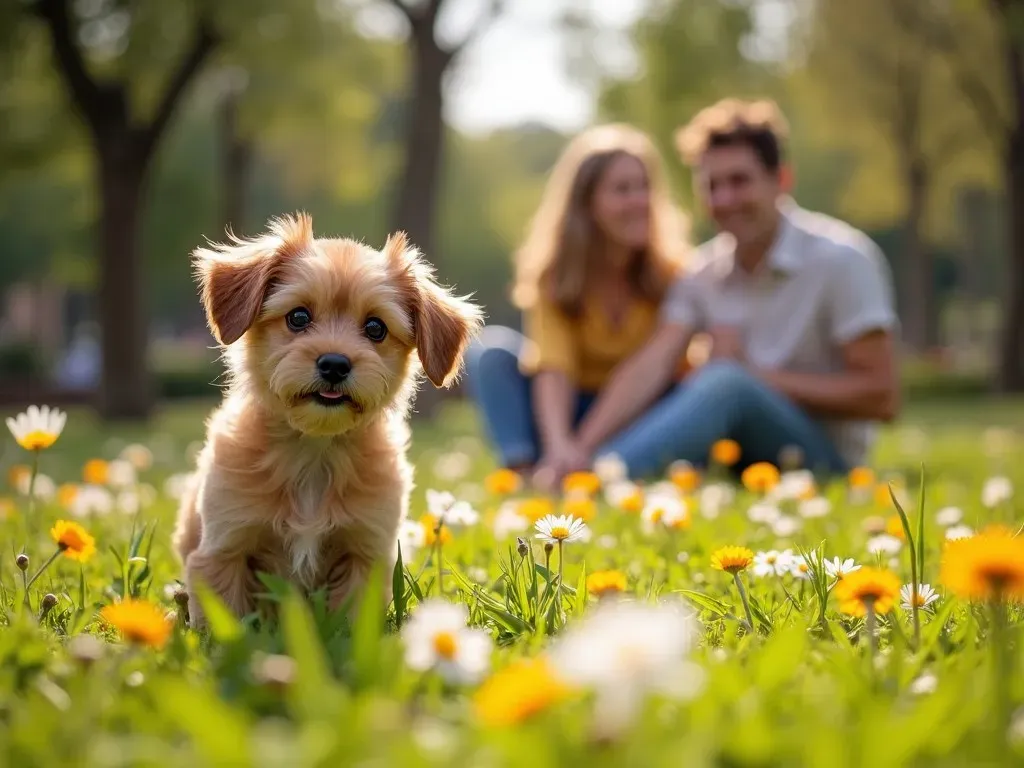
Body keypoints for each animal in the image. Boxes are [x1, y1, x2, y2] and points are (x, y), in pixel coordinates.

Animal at [174, 214, 481, 626]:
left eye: (375, 328)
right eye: (298, 317)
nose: (335, 364)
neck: (314, 450)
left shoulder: (365, 554)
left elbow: (350, 626)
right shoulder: (224, 549)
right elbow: (228, 625)